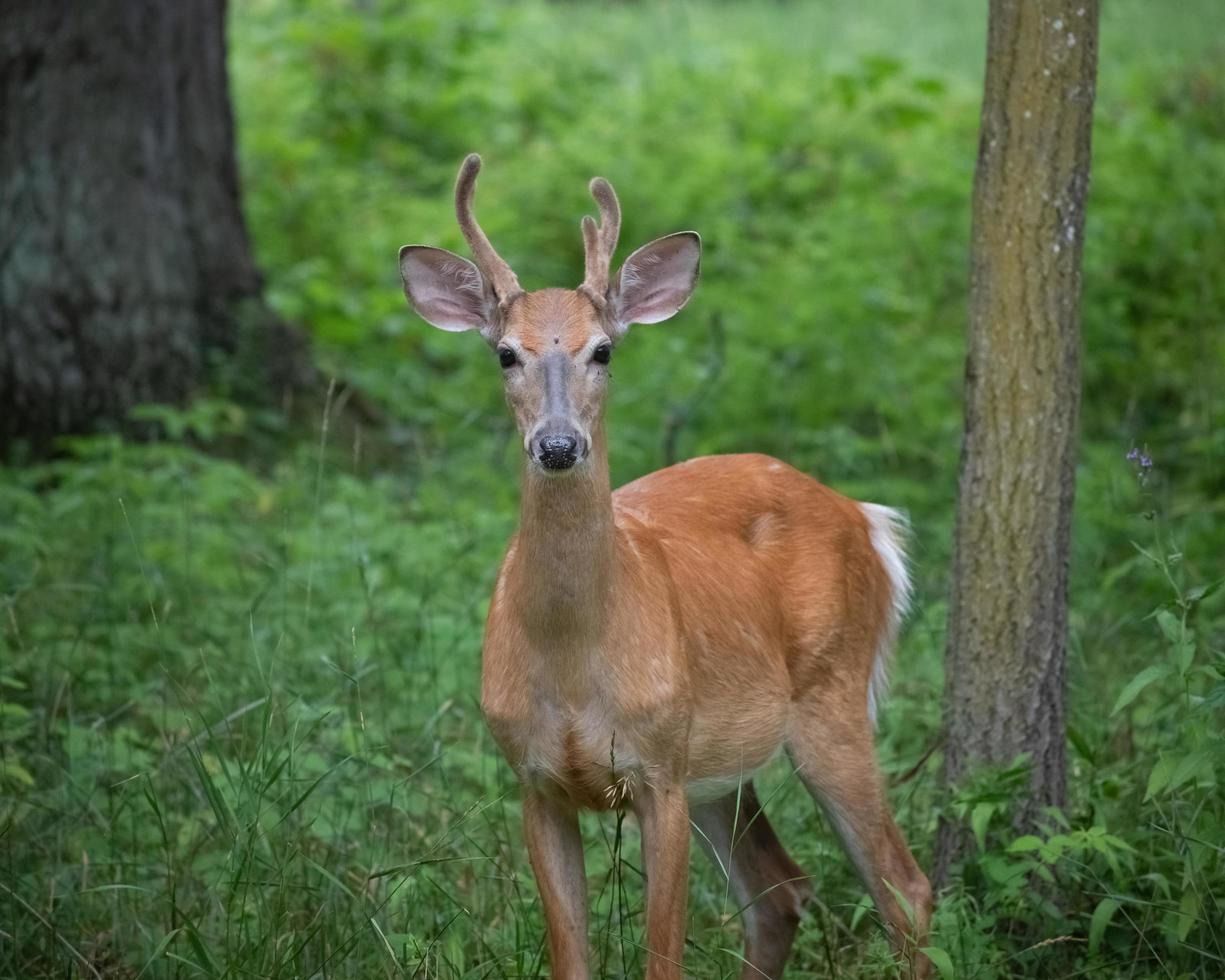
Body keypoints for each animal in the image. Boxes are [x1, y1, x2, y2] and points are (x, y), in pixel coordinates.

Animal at [399, 156, 926, 975]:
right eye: (505, 353)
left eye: (604, 350)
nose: (557, 445)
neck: (573, 662)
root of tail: (867, 519)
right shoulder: (535, 781)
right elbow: (572, 958)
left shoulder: (658, 774)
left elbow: (661, 957)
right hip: (718, 759)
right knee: (780, 890)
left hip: (828, 697)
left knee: (905, 890)